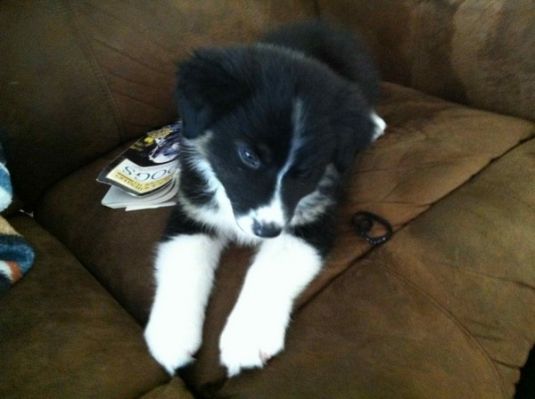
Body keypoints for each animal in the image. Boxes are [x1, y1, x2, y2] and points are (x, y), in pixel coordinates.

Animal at [143, 21, 386, 378]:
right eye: (249, 156)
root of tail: (321, 24)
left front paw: (246, 339)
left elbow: (269, 272)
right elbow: (182, 261)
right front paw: (171, 336)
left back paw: (374, 124)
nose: (267, 230)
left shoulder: (312, 220)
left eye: (306, 171)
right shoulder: (192, 207)